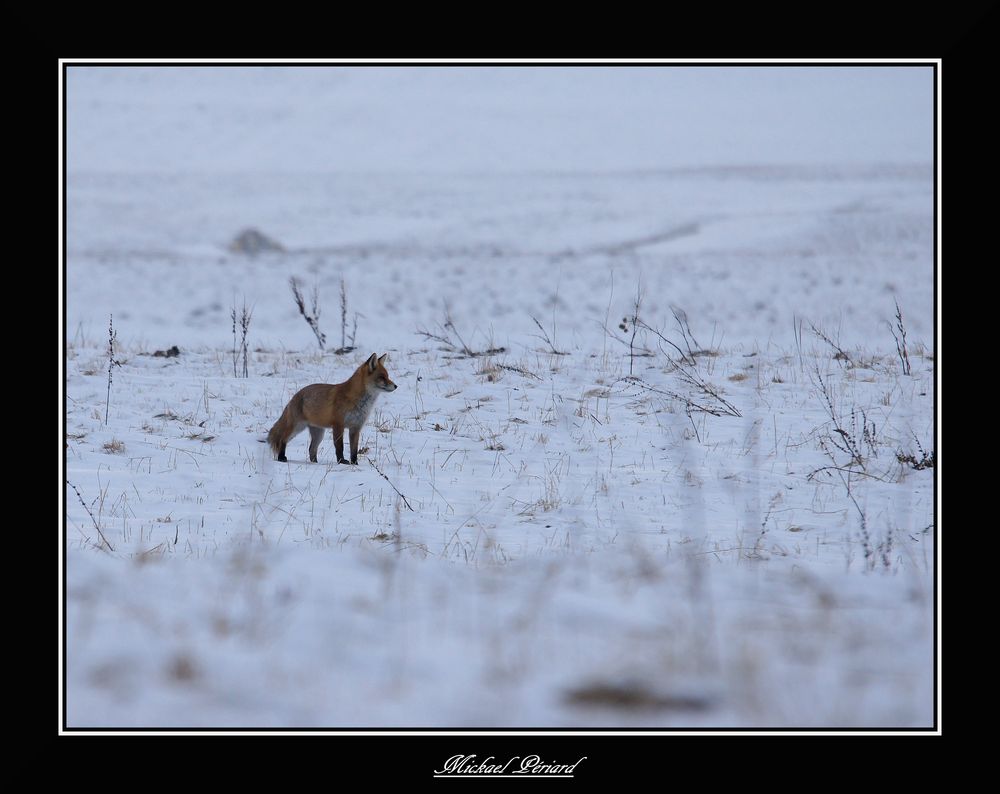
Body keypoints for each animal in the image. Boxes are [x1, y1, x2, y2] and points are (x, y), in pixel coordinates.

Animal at [268, 352, 396, 464]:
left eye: (388, 376)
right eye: (382, 377)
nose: (396, 386)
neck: (359, 402)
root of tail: (296, 395)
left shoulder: (355, 428)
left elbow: (354, 450)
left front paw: (354, 463)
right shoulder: (338, 425)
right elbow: (340, 447)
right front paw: (342, 461)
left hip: (318, 433)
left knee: (311, 449)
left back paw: (315, 463)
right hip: (297, 427)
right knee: (283, 439)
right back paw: (281, 457)